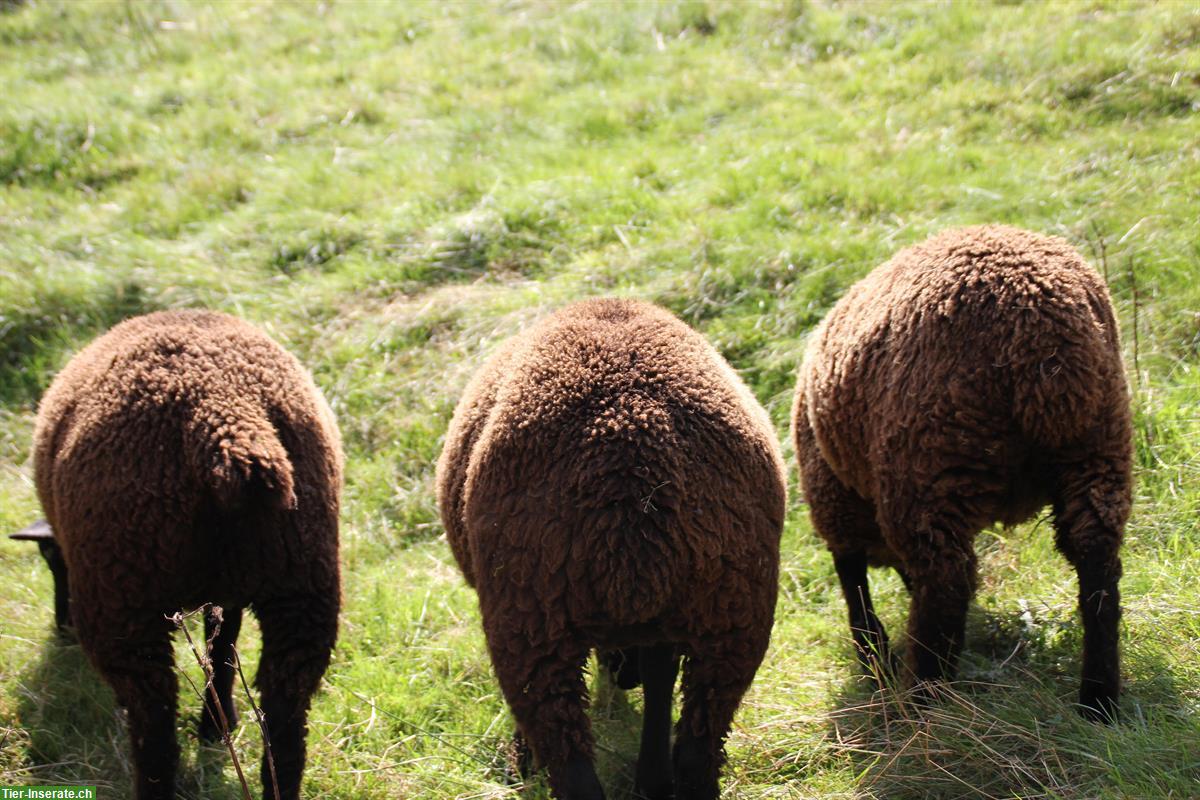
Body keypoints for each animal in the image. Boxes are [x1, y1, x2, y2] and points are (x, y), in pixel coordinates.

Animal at [15, 309, 343, 800]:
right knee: (287, 714)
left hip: (123, 590)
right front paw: (217, 724)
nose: (61, 629)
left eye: (52, 560)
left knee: (153, 719)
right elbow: (222, 647)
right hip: (303, 579)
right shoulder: (227, 591)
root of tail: (226, 420)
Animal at [439, 297, 787, 796]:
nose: (623, 677)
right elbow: (660, 680)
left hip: (529, 623)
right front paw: (652, 779)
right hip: (733, 615)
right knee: (699, 747)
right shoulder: (665, 626)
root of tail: (629, 448)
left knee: (573, 769)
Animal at [792, 224, 1128, 719]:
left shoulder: (832, 496)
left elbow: (852, 581)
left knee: (945, 583)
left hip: (929, 467)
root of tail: (1043, 331)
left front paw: (874, 658)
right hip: (1098, 448)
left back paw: (924, 700)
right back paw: (1098, 701)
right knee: (1097, 564)